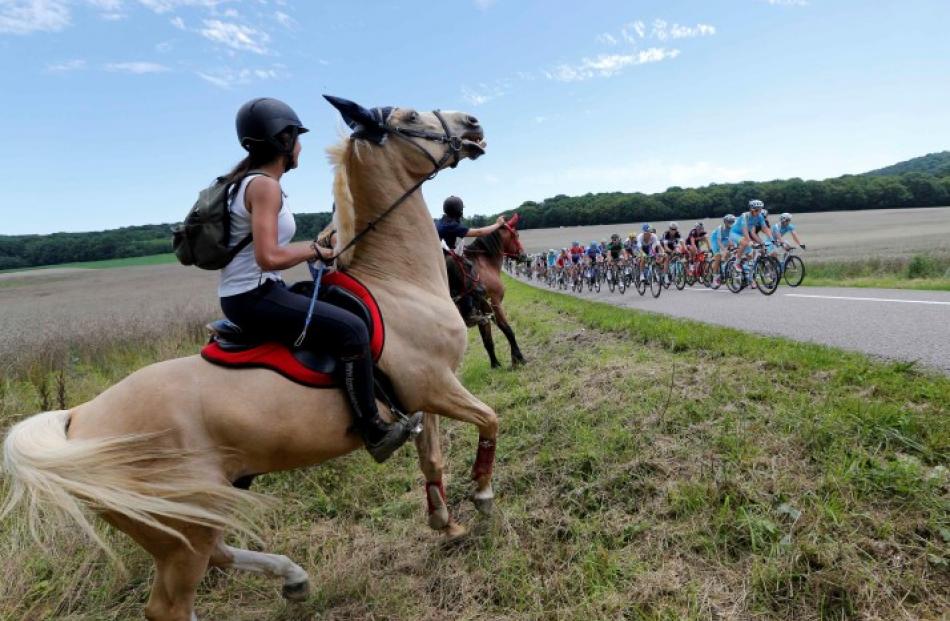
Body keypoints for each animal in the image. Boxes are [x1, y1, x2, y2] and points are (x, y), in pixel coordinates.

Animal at [1, 97, 498, 620]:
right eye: (408, 119)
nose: (473, 124)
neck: (399, 282)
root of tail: (78, 419)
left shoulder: (425, 397)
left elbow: (433, 463)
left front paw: (447, 525)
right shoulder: (436, 386)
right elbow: (489, 419)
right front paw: (482, 496)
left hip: (191, 516)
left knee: (215, 558)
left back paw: (294, 577)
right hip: (182, 529)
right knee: (170, 604)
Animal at [462, 214, 528, 368]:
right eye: (516, 234)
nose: (524, 256)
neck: (483, 265)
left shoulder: (483, 312)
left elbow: (487, 339)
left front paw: (495, 364)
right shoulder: (494, 303)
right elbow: (507, 329)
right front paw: (518, 358)